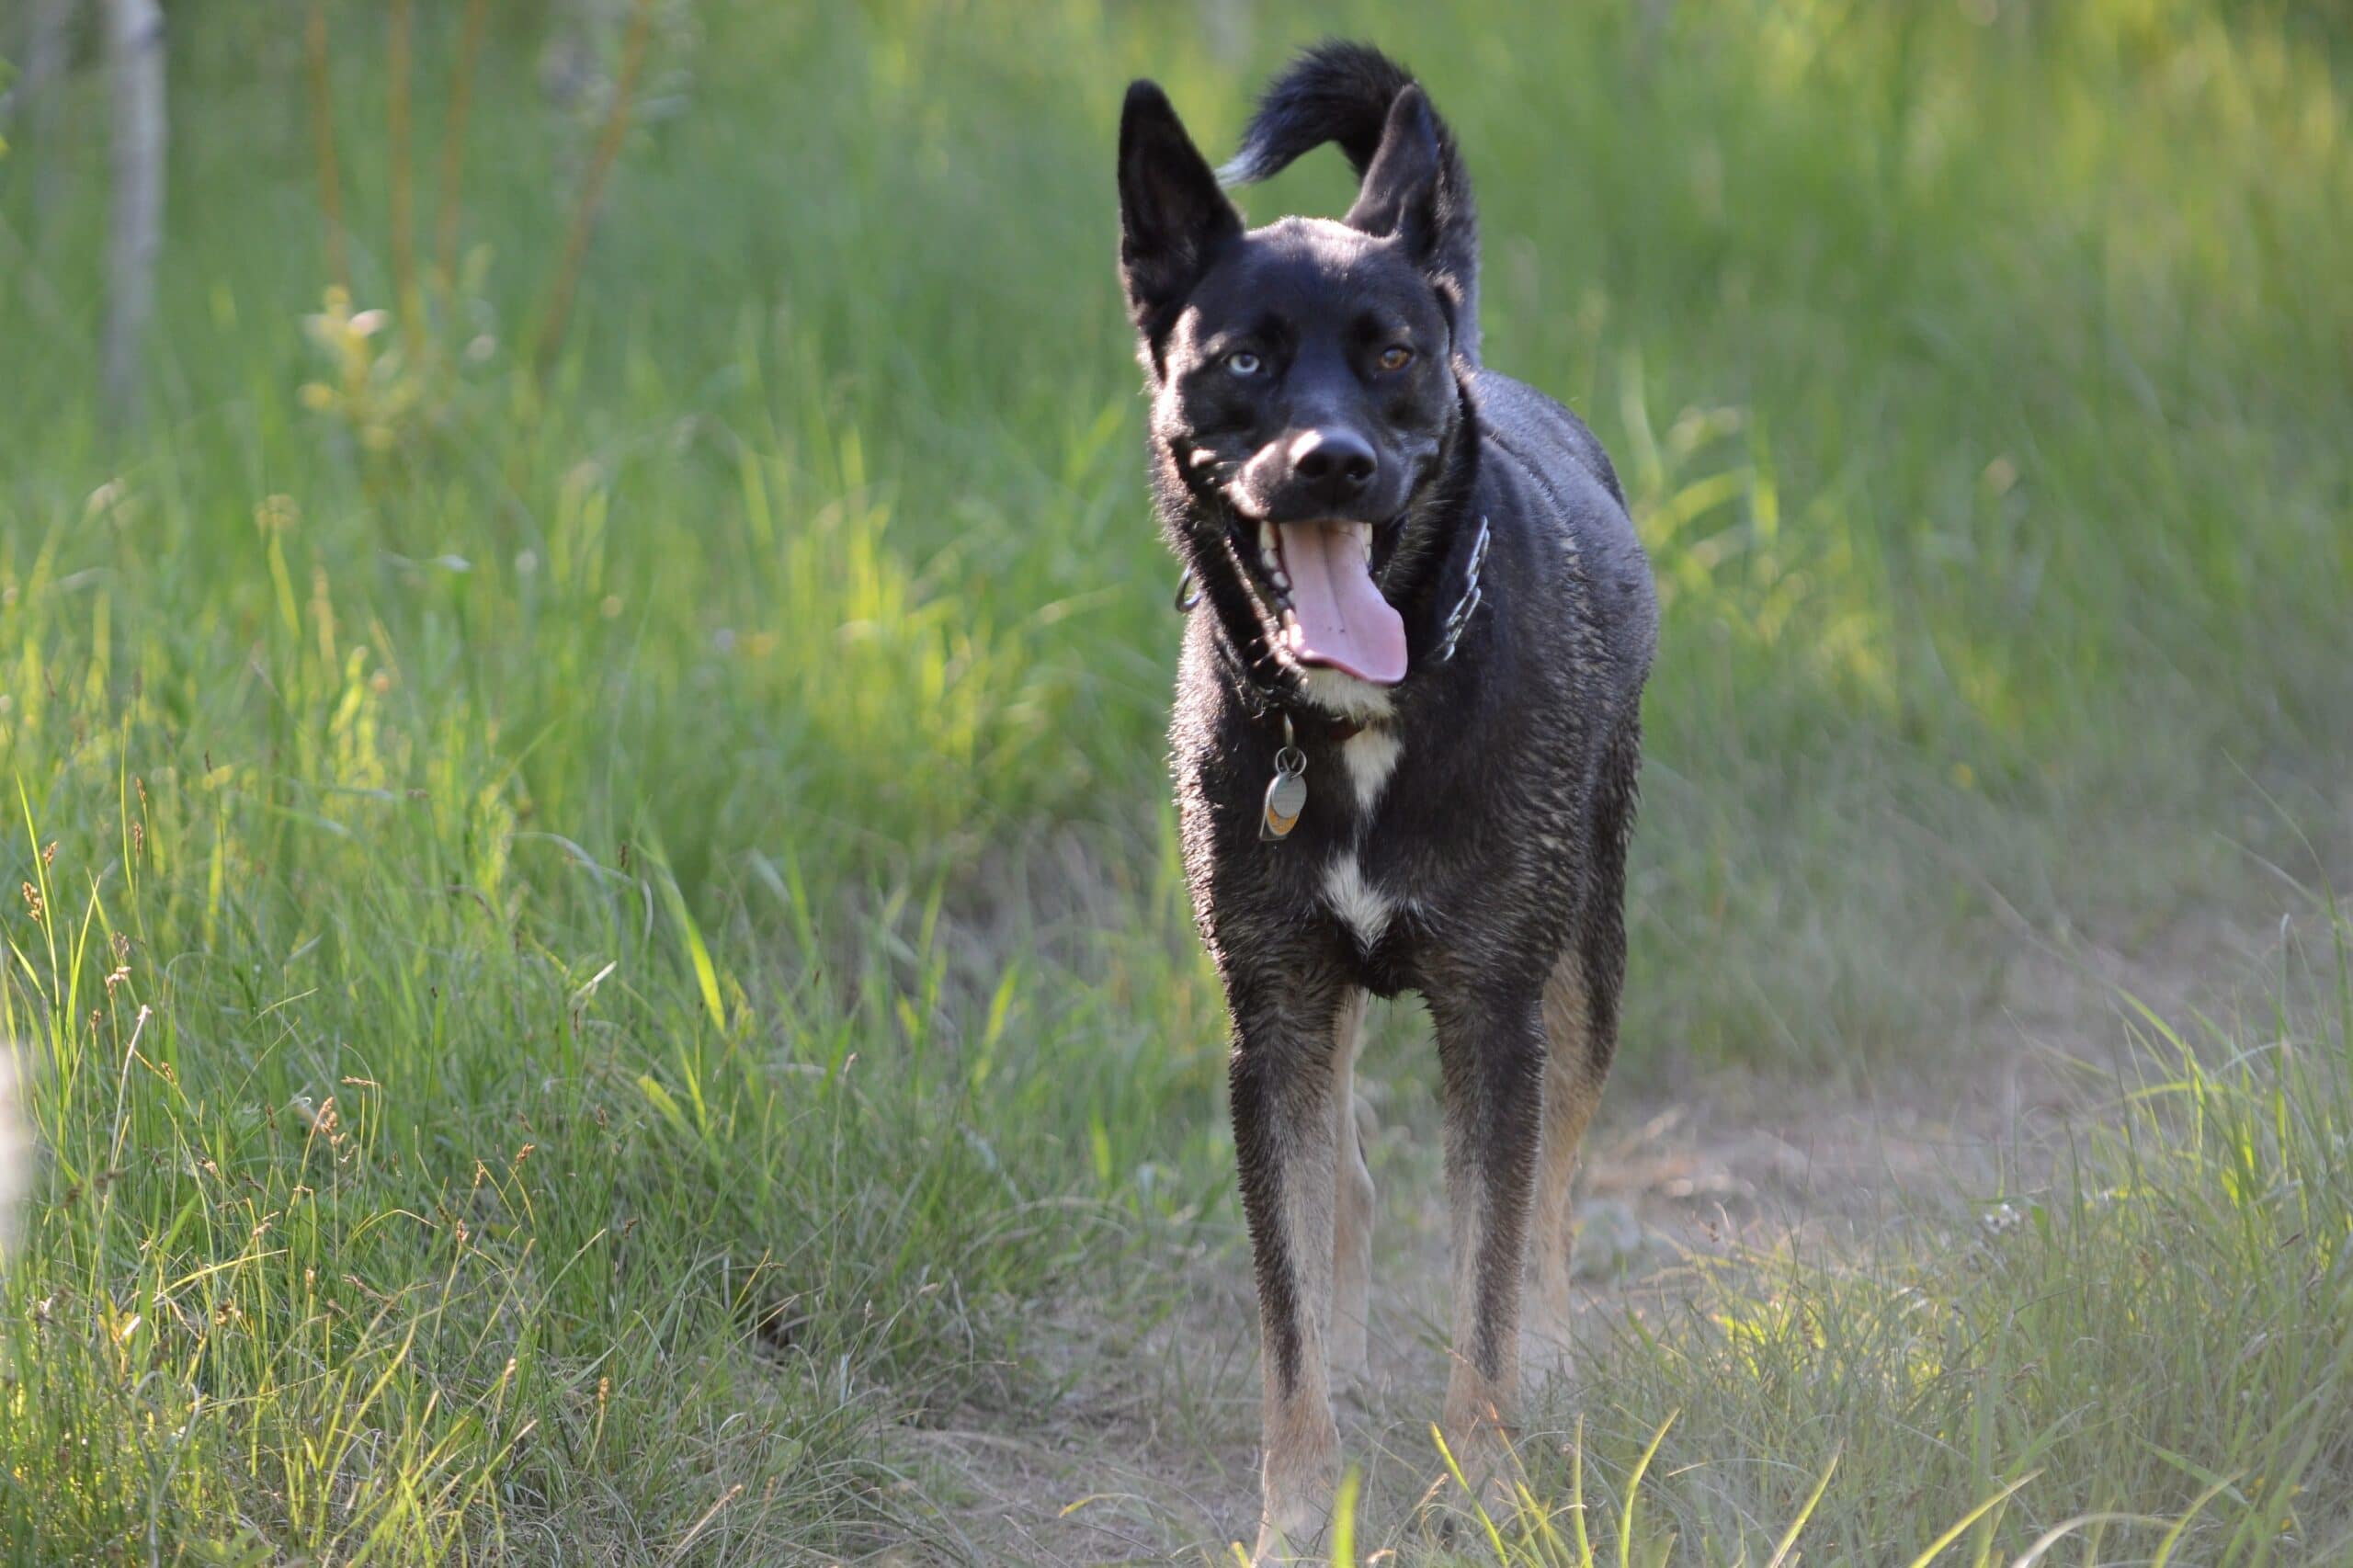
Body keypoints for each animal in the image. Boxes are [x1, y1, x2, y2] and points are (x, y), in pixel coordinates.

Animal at [1115, 42, 1656, 1553]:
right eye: (1243, 358)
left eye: (1391, 357)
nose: (1334, 462)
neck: (1354, 726)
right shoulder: (1275, 1016)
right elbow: (1288, 1309)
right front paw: (1301, 1510)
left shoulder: (1495, 1015)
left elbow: (1487, 1271)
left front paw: (1491, 1488)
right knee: (1349, 1186)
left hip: (1591, 951)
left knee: (1553, 1194)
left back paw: (1554, 1360)